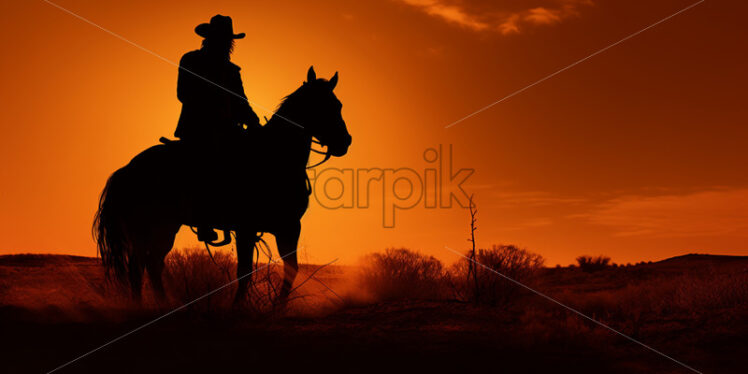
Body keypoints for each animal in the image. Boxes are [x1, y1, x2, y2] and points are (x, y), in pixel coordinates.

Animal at [93, 66, 350, 304]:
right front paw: (238, 308)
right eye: (321, 105)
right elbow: (244, 272)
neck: (272, 157)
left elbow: (291, 269)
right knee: (138, 268)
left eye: (338, 105)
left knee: (151, 264)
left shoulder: (289, 227)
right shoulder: (247, 228)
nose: (345, 142)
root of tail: (127, 169)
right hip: (147, 228)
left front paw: (278, 308)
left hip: (166, 228)